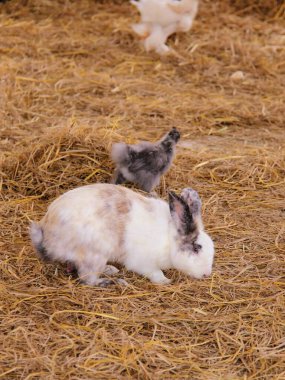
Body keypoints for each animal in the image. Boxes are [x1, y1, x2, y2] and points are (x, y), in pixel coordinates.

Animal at [30, 183, 214, 284]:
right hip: (95, 255)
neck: (169, 238)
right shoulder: (143, 262)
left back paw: (112, 270)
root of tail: (47, 238)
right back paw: (113, 282)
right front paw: (165, 281)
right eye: (197, 248)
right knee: (87, 279)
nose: (207, 274)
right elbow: (155, 272)